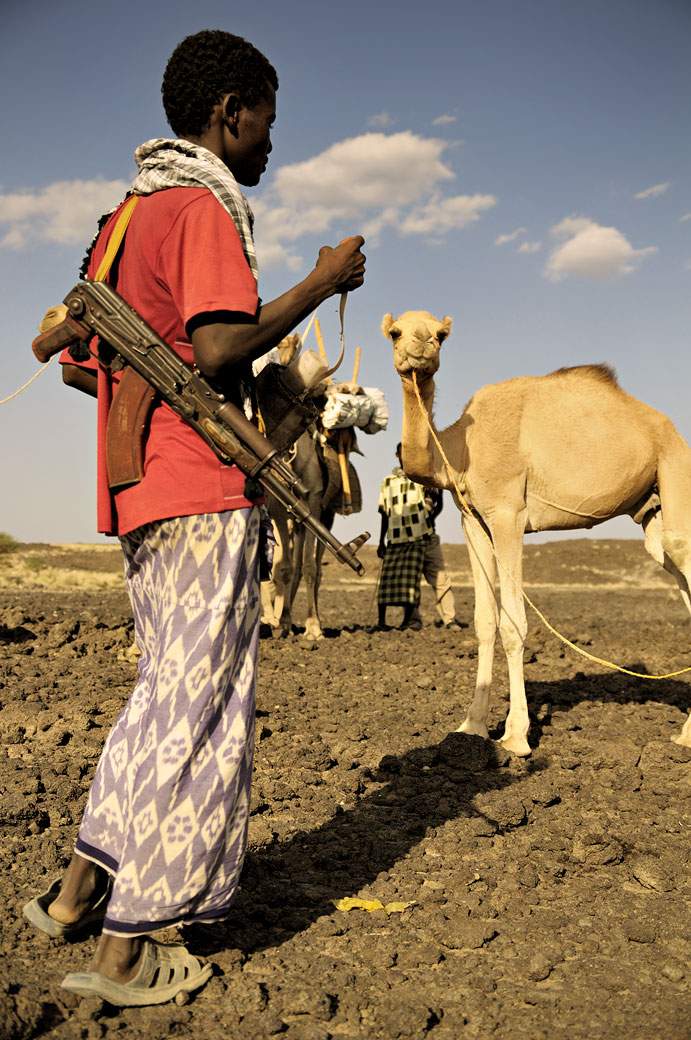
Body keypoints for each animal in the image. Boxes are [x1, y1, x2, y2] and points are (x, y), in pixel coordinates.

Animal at [382, 307, 691, 757]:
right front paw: (472, 727)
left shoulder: (508, 514)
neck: (460, 449)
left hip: (676, 468)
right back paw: (685, 733)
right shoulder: (473, 520)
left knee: (681, 551)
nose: (420, 344)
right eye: (394, 332)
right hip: (652, 506)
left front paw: (516, 736)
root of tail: (675, 432)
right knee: (673, 564)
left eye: (440, 335)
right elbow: (485, 622)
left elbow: (513, 624)